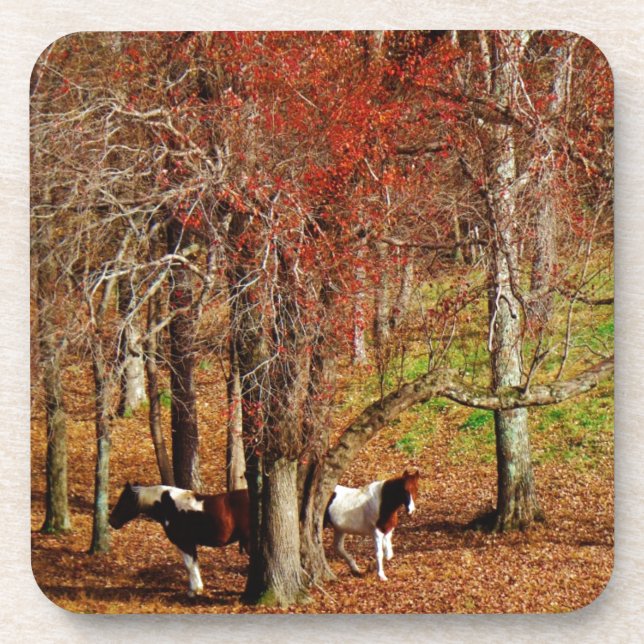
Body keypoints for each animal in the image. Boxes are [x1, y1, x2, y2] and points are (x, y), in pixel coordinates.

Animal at [109, 482, 250, 596]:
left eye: (123, 501)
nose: (112, 521)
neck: (169, 506)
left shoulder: (185, 544)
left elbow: (189, 566)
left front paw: (194, 591)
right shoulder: (190, 544)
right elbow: (193, 564)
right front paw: (196, 588)